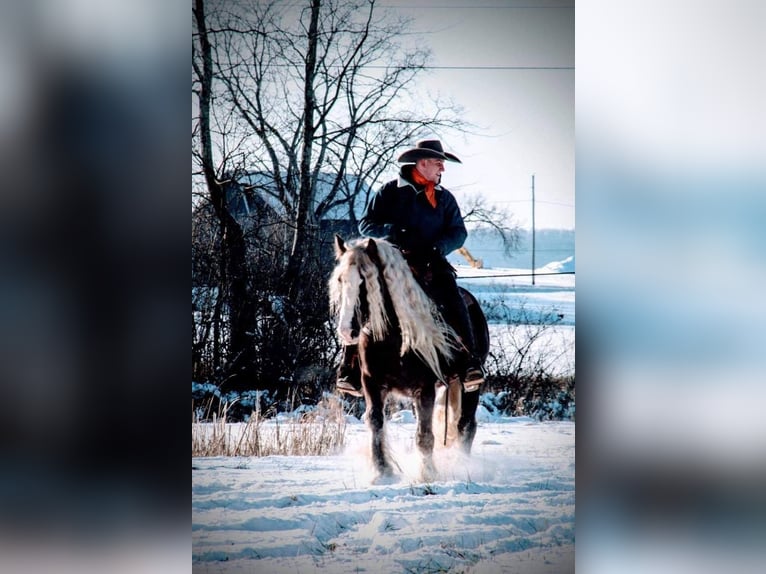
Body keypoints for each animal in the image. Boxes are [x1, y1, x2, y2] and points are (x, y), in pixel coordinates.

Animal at [328, 236, 486, 484]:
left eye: (365, 282)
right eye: (341, 280)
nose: (346, 331)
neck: (394, 337)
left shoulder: (424, 388)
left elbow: (424, 434)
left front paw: (427, 474)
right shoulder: (372, 384)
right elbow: (375, 424)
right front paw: (382, 472)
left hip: (469, 387)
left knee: (466, 424)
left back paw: (461, 464)